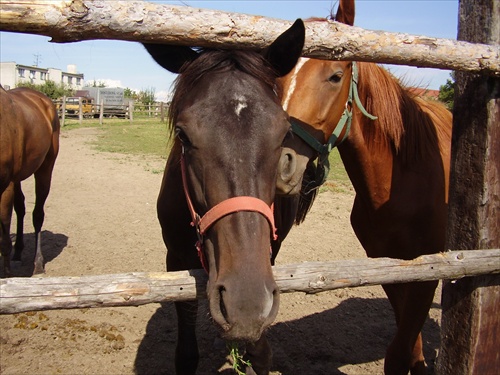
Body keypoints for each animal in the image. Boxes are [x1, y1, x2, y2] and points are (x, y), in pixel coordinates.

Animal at [0, 86, 59, 278]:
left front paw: (7, 276)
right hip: (18, 178)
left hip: (45, 168)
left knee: (37, 214)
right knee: (21, 207)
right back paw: (18, 252)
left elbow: (3, 239)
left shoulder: (5, 188)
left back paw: (38, 264)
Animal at [274, 1, 454, 374]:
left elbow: (400, 352)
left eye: (335, 76)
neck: (400, 184)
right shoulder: (388, 266)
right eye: (280, 79)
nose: (280, 162)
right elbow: (409, 346)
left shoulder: (428, 271)